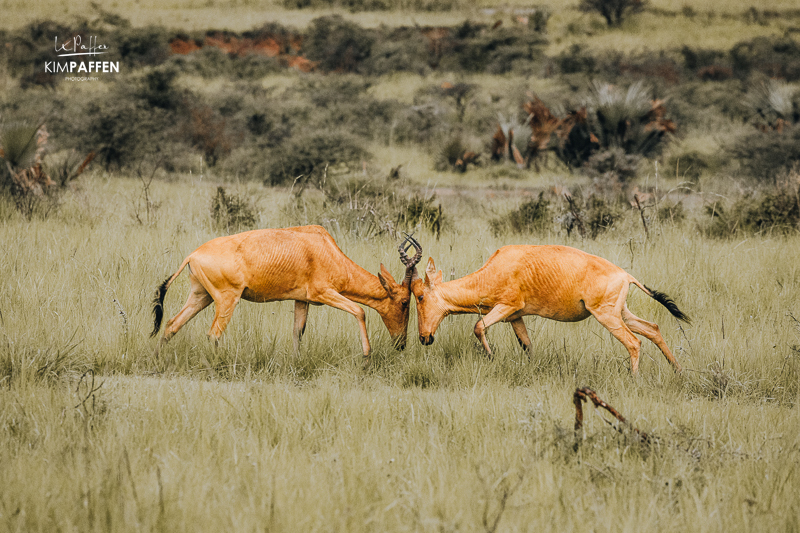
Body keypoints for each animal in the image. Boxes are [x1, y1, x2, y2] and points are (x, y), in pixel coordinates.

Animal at [152, 223, 424, 366]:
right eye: (404, 302)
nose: (401, 343)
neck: (324, 247)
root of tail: (193, 255)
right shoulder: (324, 293)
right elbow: (359, 311)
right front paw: (367, 356)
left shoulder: (302, 300)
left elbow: (297, 331)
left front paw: (296, 363)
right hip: (226, 299)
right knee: (214, 334)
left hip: (201, 296)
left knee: (172, 324)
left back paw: (157, 359)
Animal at [412, 245, 688, 374]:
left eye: (420, 296)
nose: (425, 338)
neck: (498, 266)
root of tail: (626, 275)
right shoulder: (516, 317)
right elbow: (528, 347)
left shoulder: (507, 306)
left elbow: (478, 326)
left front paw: (490, 356)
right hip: (621, 313)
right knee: (652, 329)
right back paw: (678, 371)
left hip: (606, 315)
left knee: (633, 342)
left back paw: (634, 378)